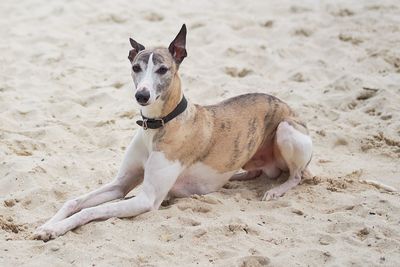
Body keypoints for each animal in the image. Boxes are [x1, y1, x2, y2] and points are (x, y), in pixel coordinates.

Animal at [32, 25, 312, 242]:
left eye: (162, 69)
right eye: (136, 67)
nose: (141, 95)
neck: (158, 125)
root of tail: (287, 106)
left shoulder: (147, 199)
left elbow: (88, 212)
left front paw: (55, 229)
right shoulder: (121, 184)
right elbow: (74, 201)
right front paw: (47, 225)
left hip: (287, 130)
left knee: (297, 176)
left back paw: (275, 190)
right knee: (254, 171)